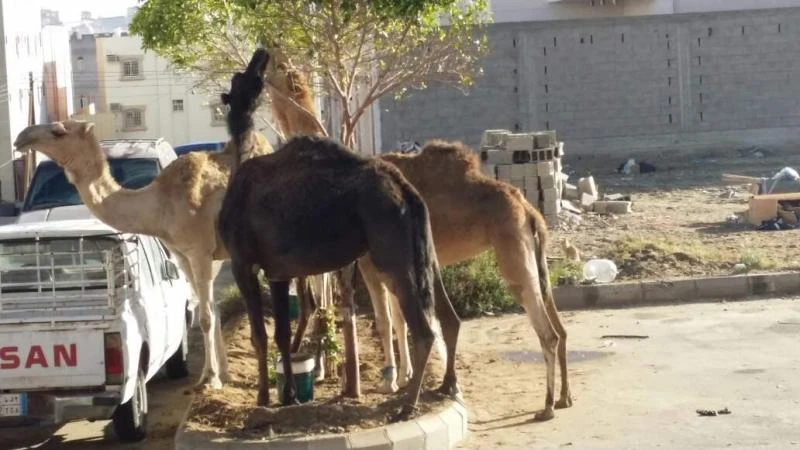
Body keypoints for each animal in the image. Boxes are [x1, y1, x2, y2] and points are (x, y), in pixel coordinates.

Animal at [12, 50, 274, 393]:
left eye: (58, 130)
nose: (21, 136)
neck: (158, 205)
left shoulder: (200, 251)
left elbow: (203, 315)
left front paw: (209, 379)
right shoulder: (182, 253)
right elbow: (209, 309)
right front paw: (222, 375)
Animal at [217, 56, 462, 420]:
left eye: (241, 78)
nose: (260, 56)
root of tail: (407, 192)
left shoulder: (241, 260)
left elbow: (260, 335)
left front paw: (262, 399)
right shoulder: (278, 271)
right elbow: (281, 333)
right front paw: (288, 396)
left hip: (392, 255)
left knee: (423, 330)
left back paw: (407, 404)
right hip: (424, 252)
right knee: (450, 318)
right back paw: (446, 385)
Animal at [266, 56, 572, 421]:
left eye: (275, 66)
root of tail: (528, 210)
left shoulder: (370, 262)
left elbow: (386, 319)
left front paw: (389, 381)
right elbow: (401, 320)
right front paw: (404, 377)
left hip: (511, 250)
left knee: (547, 332)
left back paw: (547, 405)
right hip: (535, 257)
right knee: (560, 325)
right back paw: (565, 398)